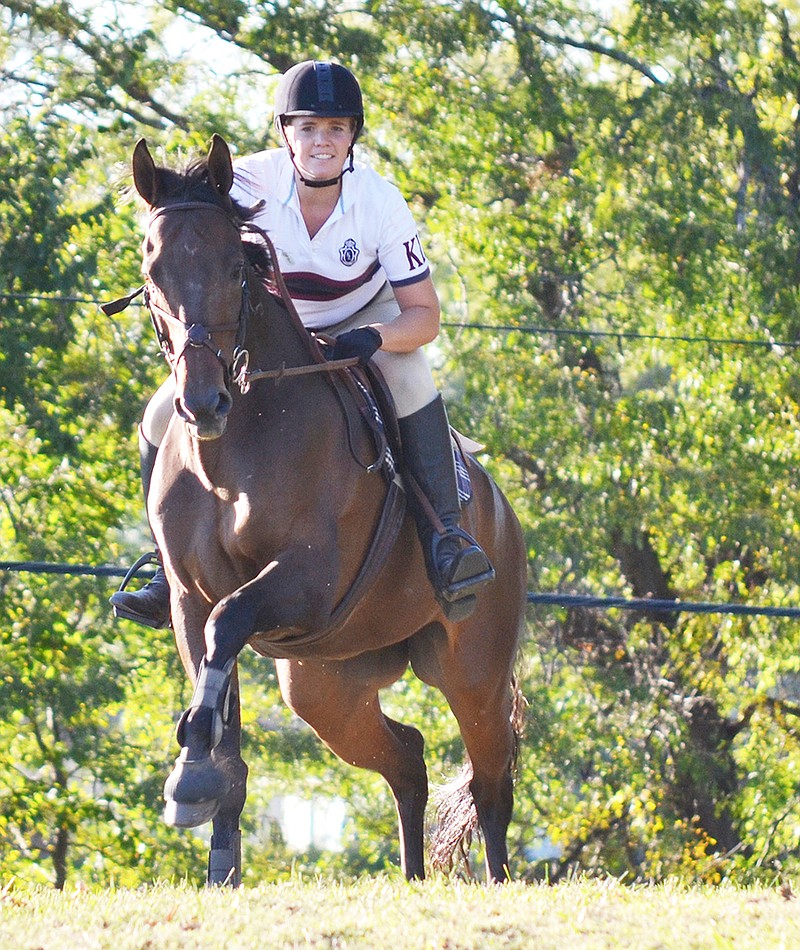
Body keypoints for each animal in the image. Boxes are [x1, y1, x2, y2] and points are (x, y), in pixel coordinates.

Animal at [123, 132, 524, 884]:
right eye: (152, 269)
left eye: (235, 267)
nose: (202, 403)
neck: (234, 449)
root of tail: (500, 511)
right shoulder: (190, 597)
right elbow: (221, 703)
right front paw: (217, 846)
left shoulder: (304, 581)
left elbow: (229, 624)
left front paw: (188, 781)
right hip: (323, 686)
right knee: (407, 759)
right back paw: (412, 879)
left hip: (474, 671)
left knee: (491, 784)